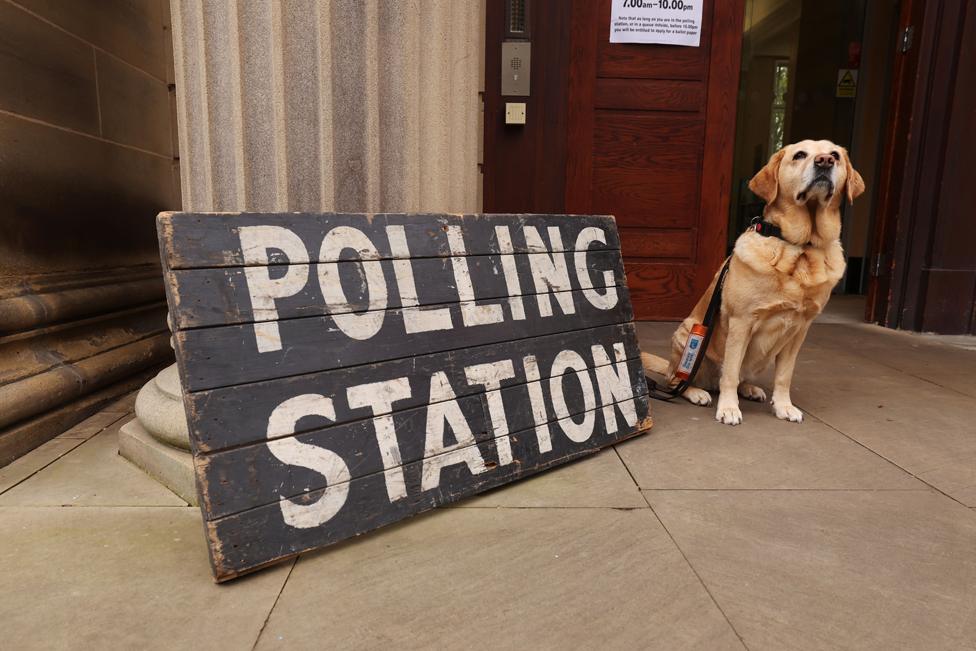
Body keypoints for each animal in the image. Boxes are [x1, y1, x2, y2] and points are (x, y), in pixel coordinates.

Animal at [644, 139, 864, 426]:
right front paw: (728, 409)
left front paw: (784, 406)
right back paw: (697, 392)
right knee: (678, 380)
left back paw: (749, 389)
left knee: (737, 377)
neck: (800, 246)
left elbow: (784, 376)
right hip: (689, 336)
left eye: (835, 155)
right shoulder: (742, 321)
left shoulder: (800, 330)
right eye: (800, 155)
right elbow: (730, 371)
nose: (825, 161)